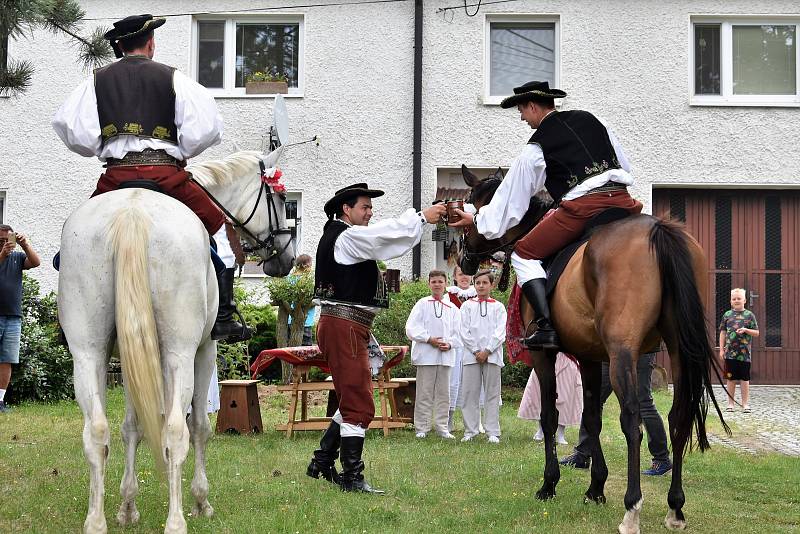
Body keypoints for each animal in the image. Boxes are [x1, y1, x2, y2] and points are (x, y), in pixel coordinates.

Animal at [57, 151, 294, 534]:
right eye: (280, 200)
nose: (285, 258)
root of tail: (132, 213)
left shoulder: (129, 355)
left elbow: (131, 427)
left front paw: (127, 506)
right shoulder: (203, 351)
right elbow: (197, 426)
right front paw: (201, 501)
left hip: (88, 353)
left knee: (97, 431)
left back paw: (96, 521)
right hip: (181, 353)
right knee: (175, 430)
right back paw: (176, 520)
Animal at [460, 165, 728, 532]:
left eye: (470, 206)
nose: (464, 261)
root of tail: (659, 229)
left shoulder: (545, 356)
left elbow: (551, 415)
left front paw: (549, 484)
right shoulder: (589, 357)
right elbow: (591, 416)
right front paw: (596, 487)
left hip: (623, 354)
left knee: (632, 420)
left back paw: (632, 509)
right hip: (678, 350)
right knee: (677, 416)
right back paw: (675, 507)